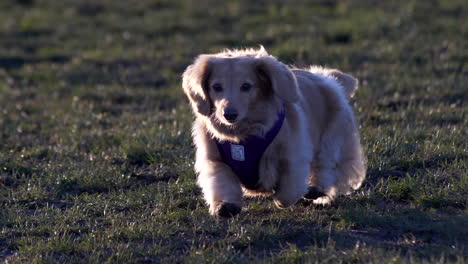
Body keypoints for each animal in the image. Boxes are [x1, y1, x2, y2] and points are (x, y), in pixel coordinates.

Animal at [183, 47, 366, 217]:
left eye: (246, 86)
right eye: (216, 87)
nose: (229, 115)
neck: (242, 135)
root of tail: (326, 79)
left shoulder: (292, 158)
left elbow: (287, 193)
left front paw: (280, 197)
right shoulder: (216, 161)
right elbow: (222, 183)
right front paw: (225, 206)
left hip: (330, 140)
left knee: (326, 166)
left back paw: (315, 189)